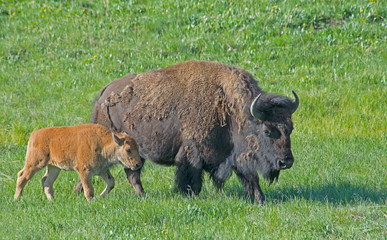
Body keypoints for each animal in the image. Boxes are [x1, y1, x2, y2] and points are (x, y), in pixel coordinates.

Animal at [14, 124, 144, 201]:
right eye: (128, 150)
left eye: (138, 147)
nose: (138, 164)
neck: (104, 143)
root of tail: (34, 134)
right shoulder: (84, 171)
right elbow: (89, 189)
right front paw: (91, 201)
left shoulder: (102, 170)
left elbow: (111, 182)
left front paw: (99, 197)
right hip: (35, 163)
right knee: (22, 176)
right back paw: (17, 199)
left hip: (54, 168)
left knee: (46, 181)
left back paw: (52, 200)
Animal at [75, 61, 300, 203]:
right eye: (268, 130)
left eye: (290, 128)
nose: (286, 161)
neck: (233, 111)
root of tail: (104, 93)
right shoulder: (192, 154)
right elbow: (191, 179)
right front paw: (188, 196)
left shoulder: (236, 157)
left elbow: (250, 178)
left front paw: (260, 199)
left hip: (133, 153)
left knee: (132, 174)